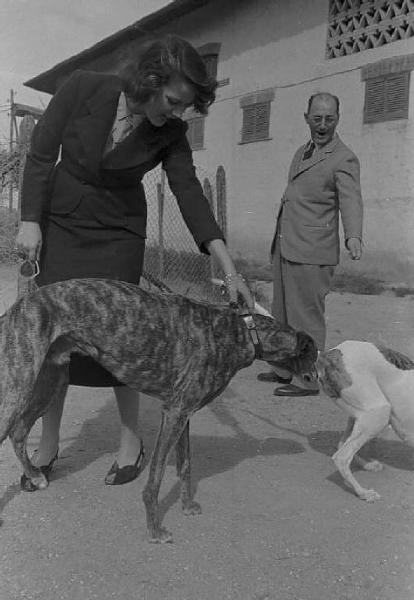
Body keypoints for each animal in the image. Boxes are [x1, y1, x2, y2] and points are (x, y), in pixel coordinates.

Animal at [316, 342, 414, 502]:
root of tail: (328, 353)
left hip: (362, 415)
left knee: (342, 444)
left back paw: (368, 465)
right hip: (379, 413)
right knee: (341, 457)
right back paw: (363, 492)